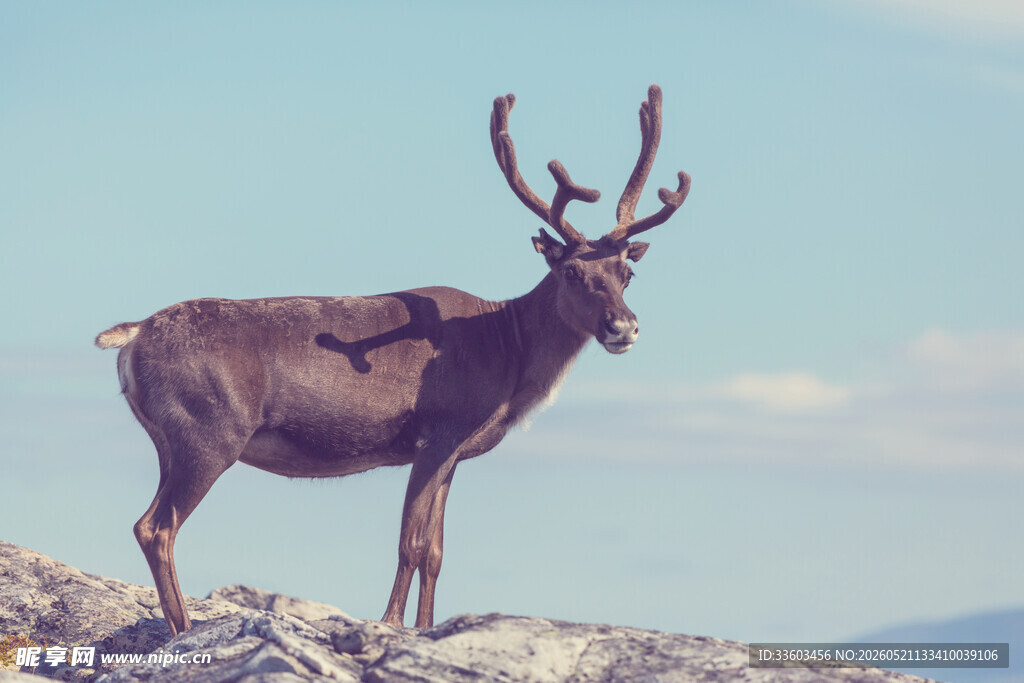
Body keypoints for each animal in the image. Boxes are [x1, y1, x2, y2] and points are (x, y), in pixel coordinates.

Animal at [95, 85, 690, 635]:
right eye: (571, 272)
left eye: (627, 274)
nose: (622, 327)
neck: (508, 352)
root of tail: (134, 335)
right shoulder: (436, 433)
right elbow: (411, 544)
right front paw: (390, 624)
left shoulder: (454, 453)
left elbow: (437, 553)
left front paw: (426, 627)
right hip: (210, 434)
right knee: (156, 527)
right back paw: (184, 628)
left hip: (169, 441)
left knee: (151, 524)